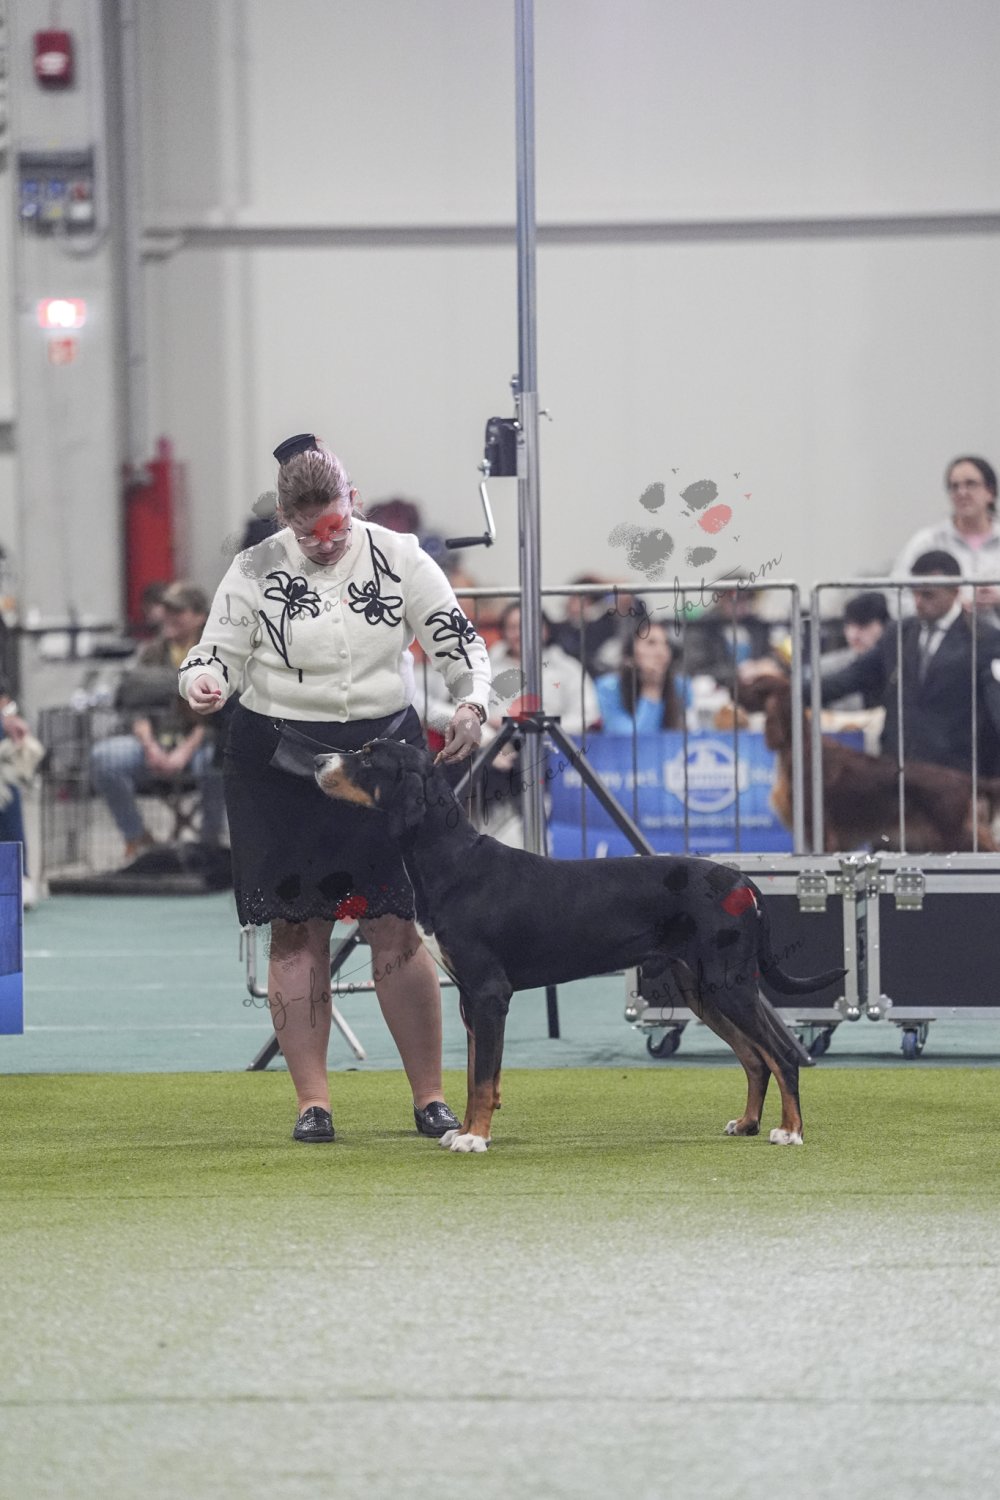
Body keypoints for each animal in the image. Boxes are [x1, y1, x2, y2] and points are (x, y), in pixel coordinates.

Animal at [315, 738, 846, 1153]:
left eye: (368, 755)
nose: (318, 759)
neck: (449, 860)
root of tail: (741, 880)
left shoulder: (488, 994)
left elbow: (483, 1078)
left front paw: (475, 1137)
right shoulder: (469, 998)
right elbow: (473, 1074)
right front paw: (462, 1130)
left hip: (729, 983)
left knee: (782, 1054)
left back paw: (790, 1131)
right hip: (701, 991)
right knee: (755, 1059)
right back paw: (748, 1123)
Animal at [738, 671, 1000, 853]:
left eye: (756, 684)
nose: (734, 689)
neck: (800, 746)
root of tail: (967, 780)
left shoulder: (820, 830)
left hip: (957, 833)